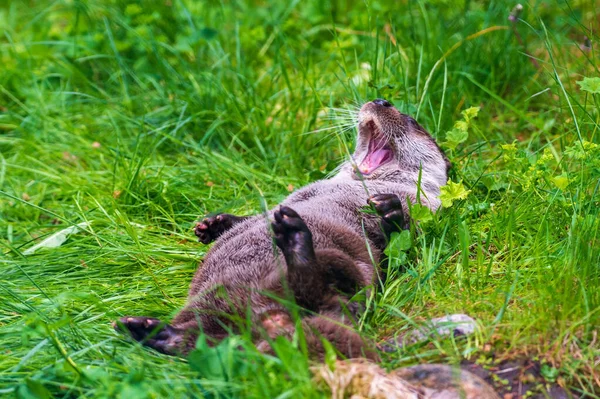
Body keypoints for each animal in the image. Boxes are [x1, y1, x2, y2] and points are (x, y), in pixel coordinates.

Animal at [116, 99, 450, 360]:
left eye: (412, 122)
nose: (381, 100)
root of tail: (270, 322)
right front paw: (213, 224)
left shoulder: (424, 209)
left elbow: (402, 247)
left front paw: (389, 210)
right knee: (206, 346)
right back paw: (151, 332)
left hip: (349, 268)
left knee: (320, 289)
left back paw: (296, 240)